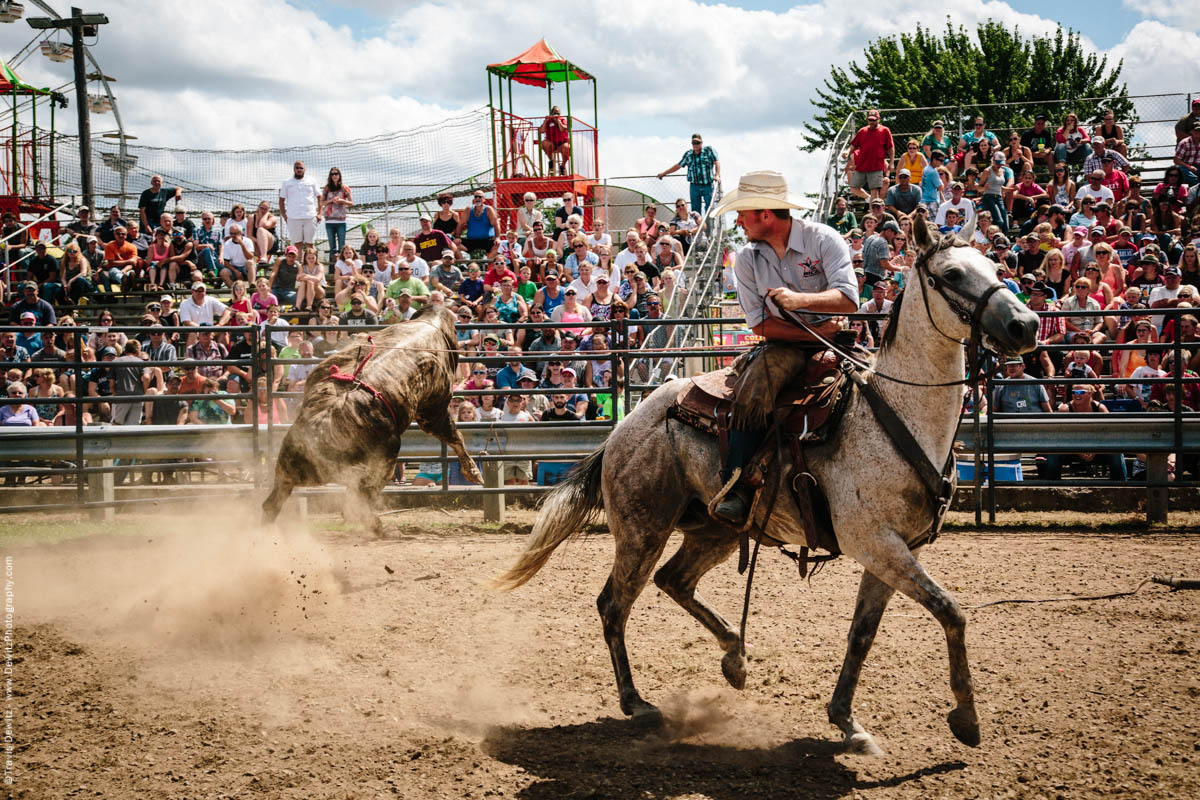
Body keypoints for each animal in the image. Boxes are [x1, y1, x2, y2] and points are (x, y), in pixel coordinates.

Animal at [496, 220, 1041, 758]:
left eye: (995, 266)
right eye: (952, 274)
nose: (1026, 325)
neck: (896, 414)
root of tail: (623, 427)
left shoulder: (894, 549)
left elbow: (862, 634)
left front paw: (847, 722)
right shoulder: (876, 544)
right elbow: (951, 610)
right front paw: (966, 719)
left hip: (712, 530)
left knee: (675, 581)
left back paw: (735, 657)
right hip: (641, 530)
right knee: (615, 603)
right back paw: (637, 702)